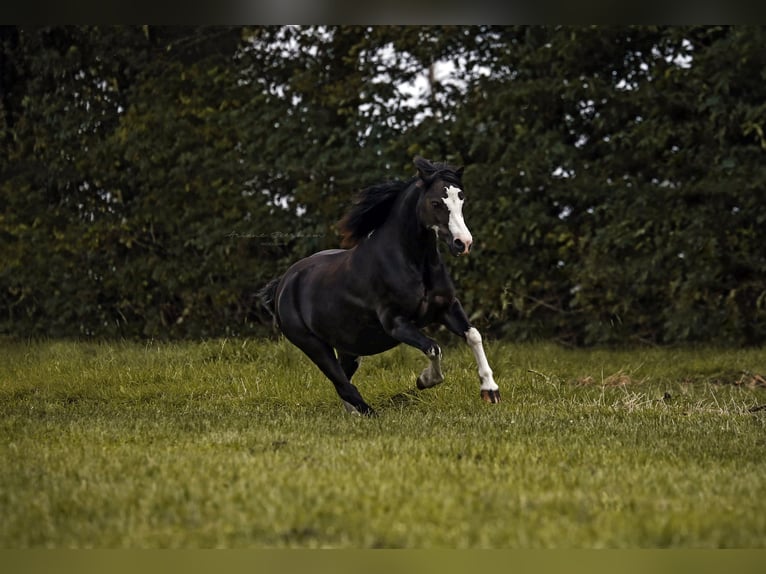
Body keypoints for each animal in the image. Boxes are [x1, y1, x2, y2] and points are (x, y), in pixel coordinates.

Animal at [260, 158, 504, 418]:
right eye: (436, 202)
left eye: (461, 199)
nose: (463, 243)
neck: (412, 262)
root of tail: (282, 284)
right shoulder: (395, 323)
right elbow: (433, 348)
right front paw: (424, 380)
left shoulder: (447, 307)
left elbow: (473, 335)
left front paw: (490, 391)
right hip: (313, 345)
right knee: (343, 384)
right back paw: (370, 414)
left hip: (349, 347)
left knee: (344, 379)